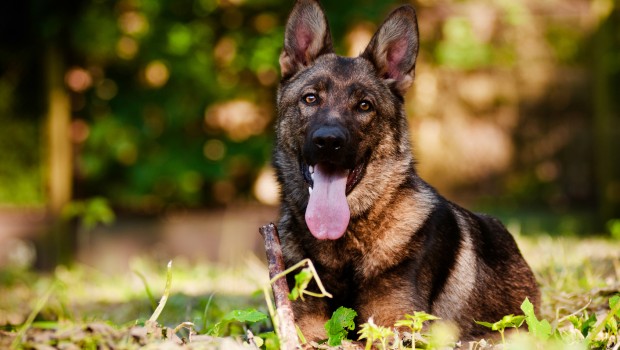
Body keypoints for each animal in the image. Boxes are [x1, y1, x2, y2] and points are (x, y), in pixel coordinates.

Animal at [272, 0, 536, 340]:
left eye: (365, 106)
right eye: (310, 98)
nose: (328, 141)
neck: (346, 242)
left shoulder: (393, 326)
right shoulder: (304, 327)